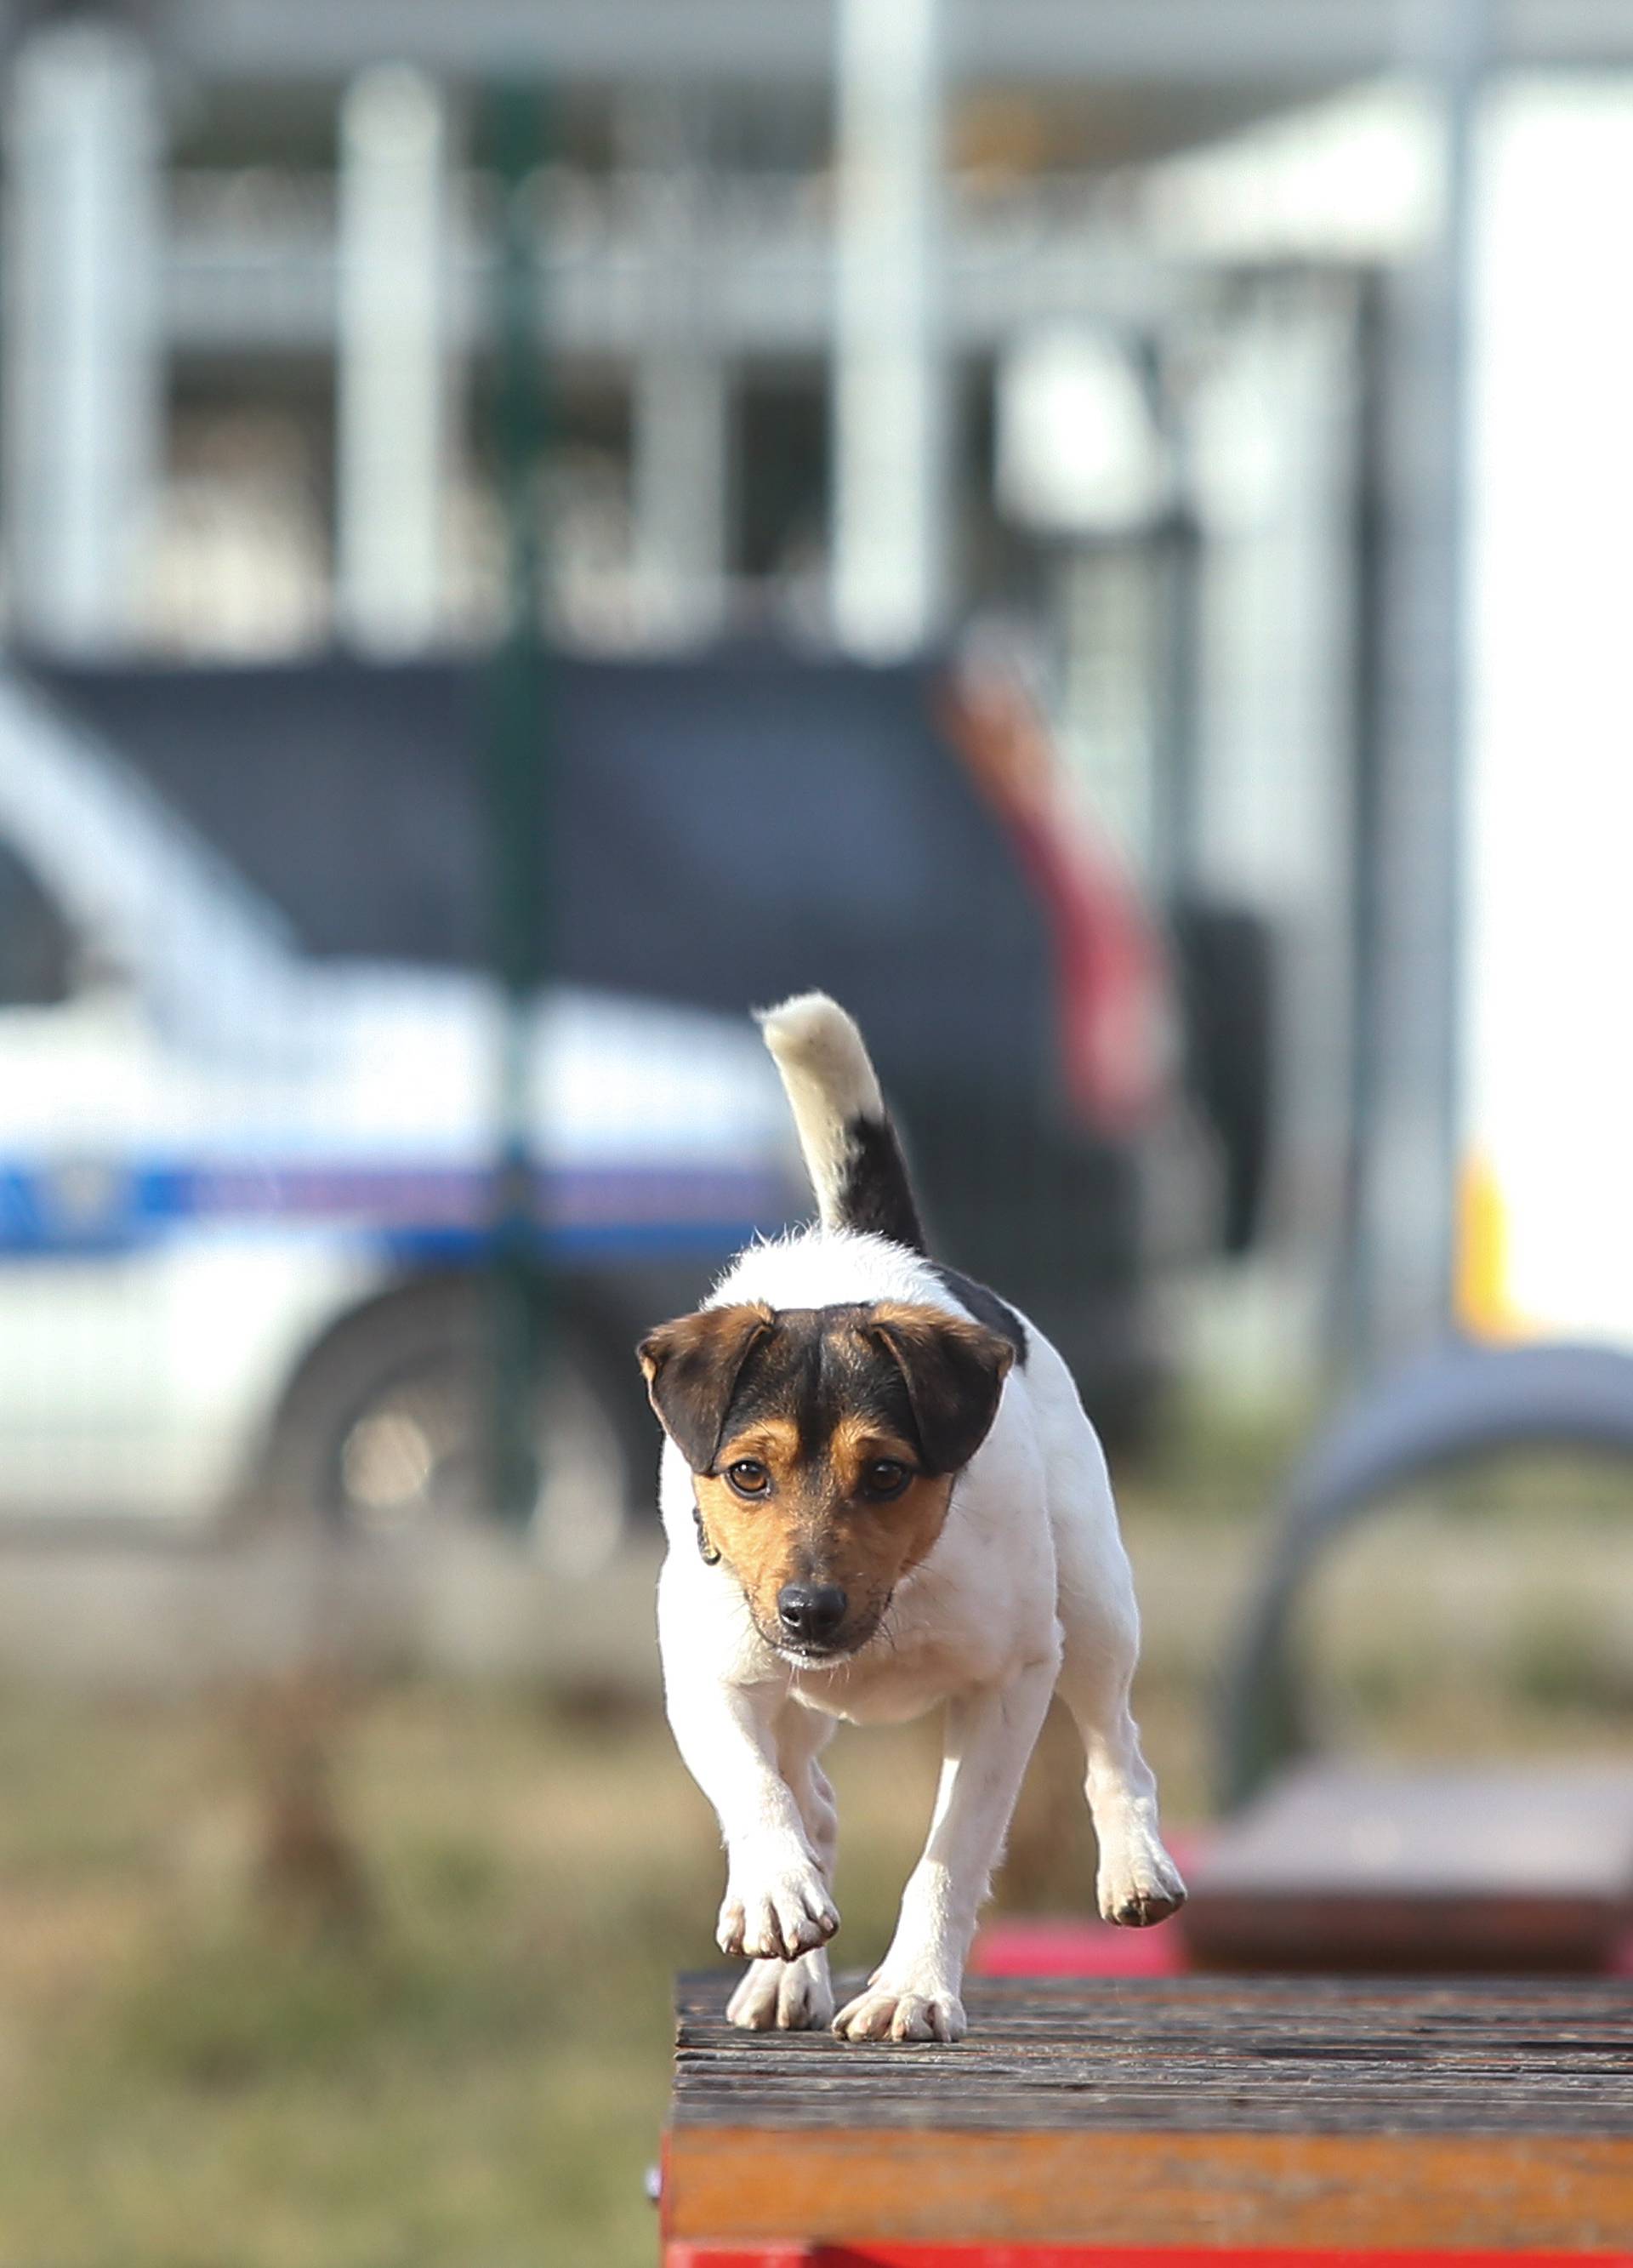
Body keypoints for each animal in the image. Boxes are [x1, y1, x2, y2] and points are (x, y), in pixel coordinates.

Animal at [640, 993, 1188, 2041]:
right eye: (747, 1474)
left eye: (888, 1473)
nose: (809, 1610)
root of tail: (879, 1249)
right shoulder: (708, 1671)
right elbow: (753, 1785)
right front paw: (775, 1894)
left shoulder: (1012, 1678)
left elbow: (954, 1849)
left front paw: (912, 1988)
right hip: (789, 1693)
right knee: (810, 1794)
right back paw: (787, 1968)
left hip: (1097, 1603)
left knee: (1117, 1739)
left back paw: (1136, 1866)